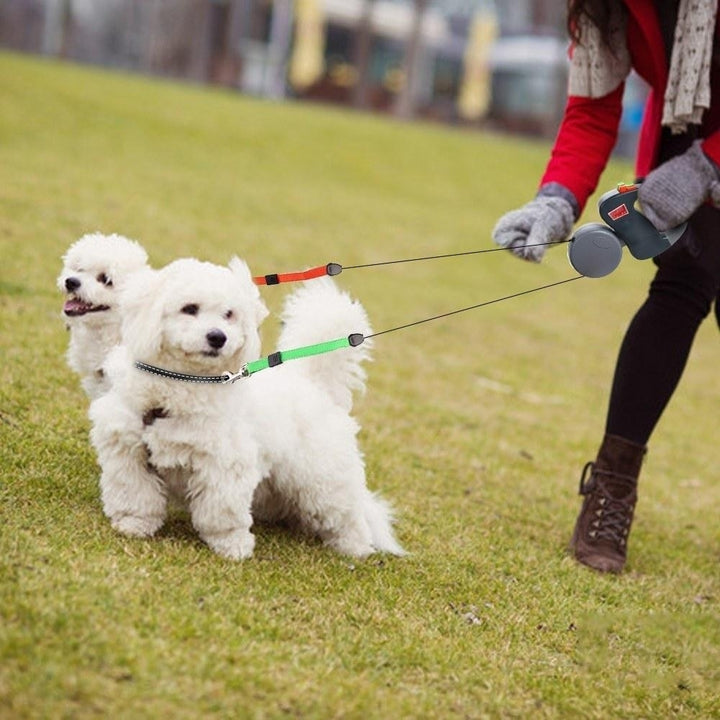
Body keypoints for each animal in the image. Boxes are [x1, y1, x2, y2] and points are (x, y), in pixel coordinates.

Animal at [88, 258, 404, 564]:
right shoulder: (127, 452)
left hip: (324, 478)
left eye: (229, 314)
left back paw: (356, 549)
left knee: (348, 515)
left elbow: (220, 511)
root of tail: (314, 382)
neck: (180, 385)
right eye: (189, 309)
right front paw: (134, 525)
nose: (218, 337)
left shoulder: (224, 464)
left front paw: (232, 546)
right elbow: (135, 495)